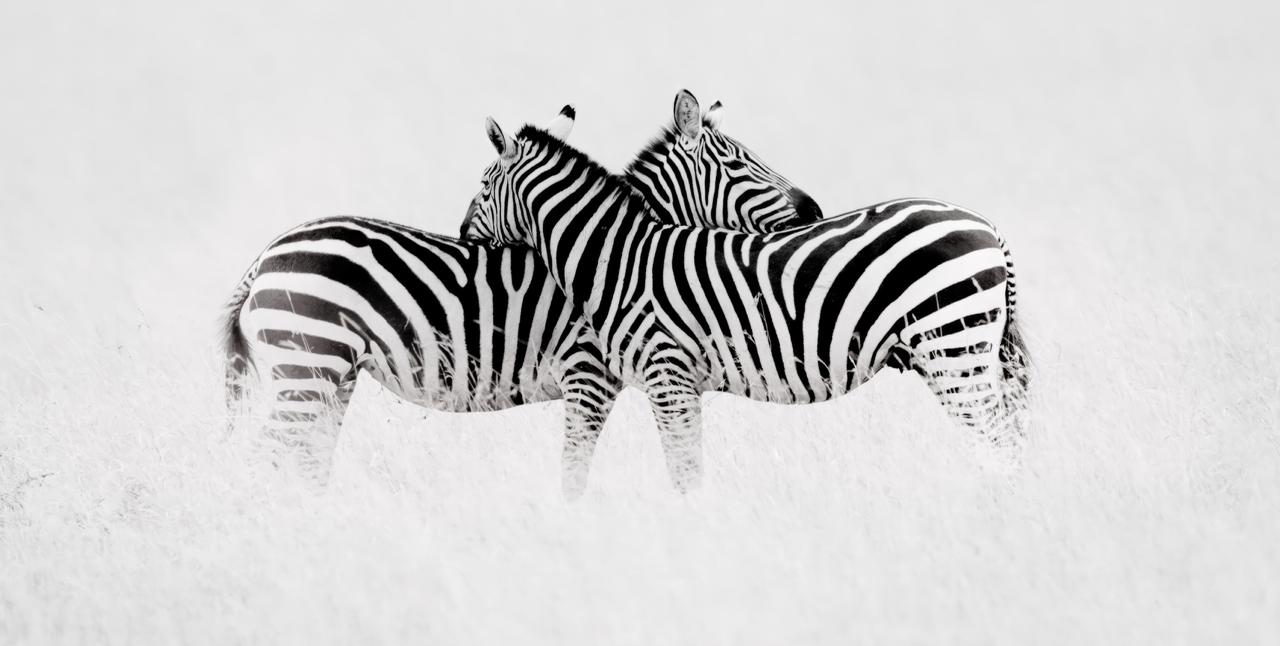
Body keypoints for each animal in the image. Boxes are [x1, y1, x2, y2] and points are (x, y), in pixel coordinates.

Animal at [222, 93, 819, 496]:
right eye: (741, 164)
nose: (813, 209)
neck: (617, 252)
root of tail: (263, 257)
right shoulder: (587, 375)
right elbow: (573, 471)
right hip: (307, 367)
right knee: (264, 460)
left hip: (328, 375)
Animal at [462, 108, 1031, 492]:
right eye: (740, 163)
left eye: (484, 187)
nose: (463, 234)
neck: (618, 256)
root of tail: (988, 226)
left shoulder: (659, 376)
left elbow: (677, 471)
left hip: (952, 347)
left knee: (998, 445)